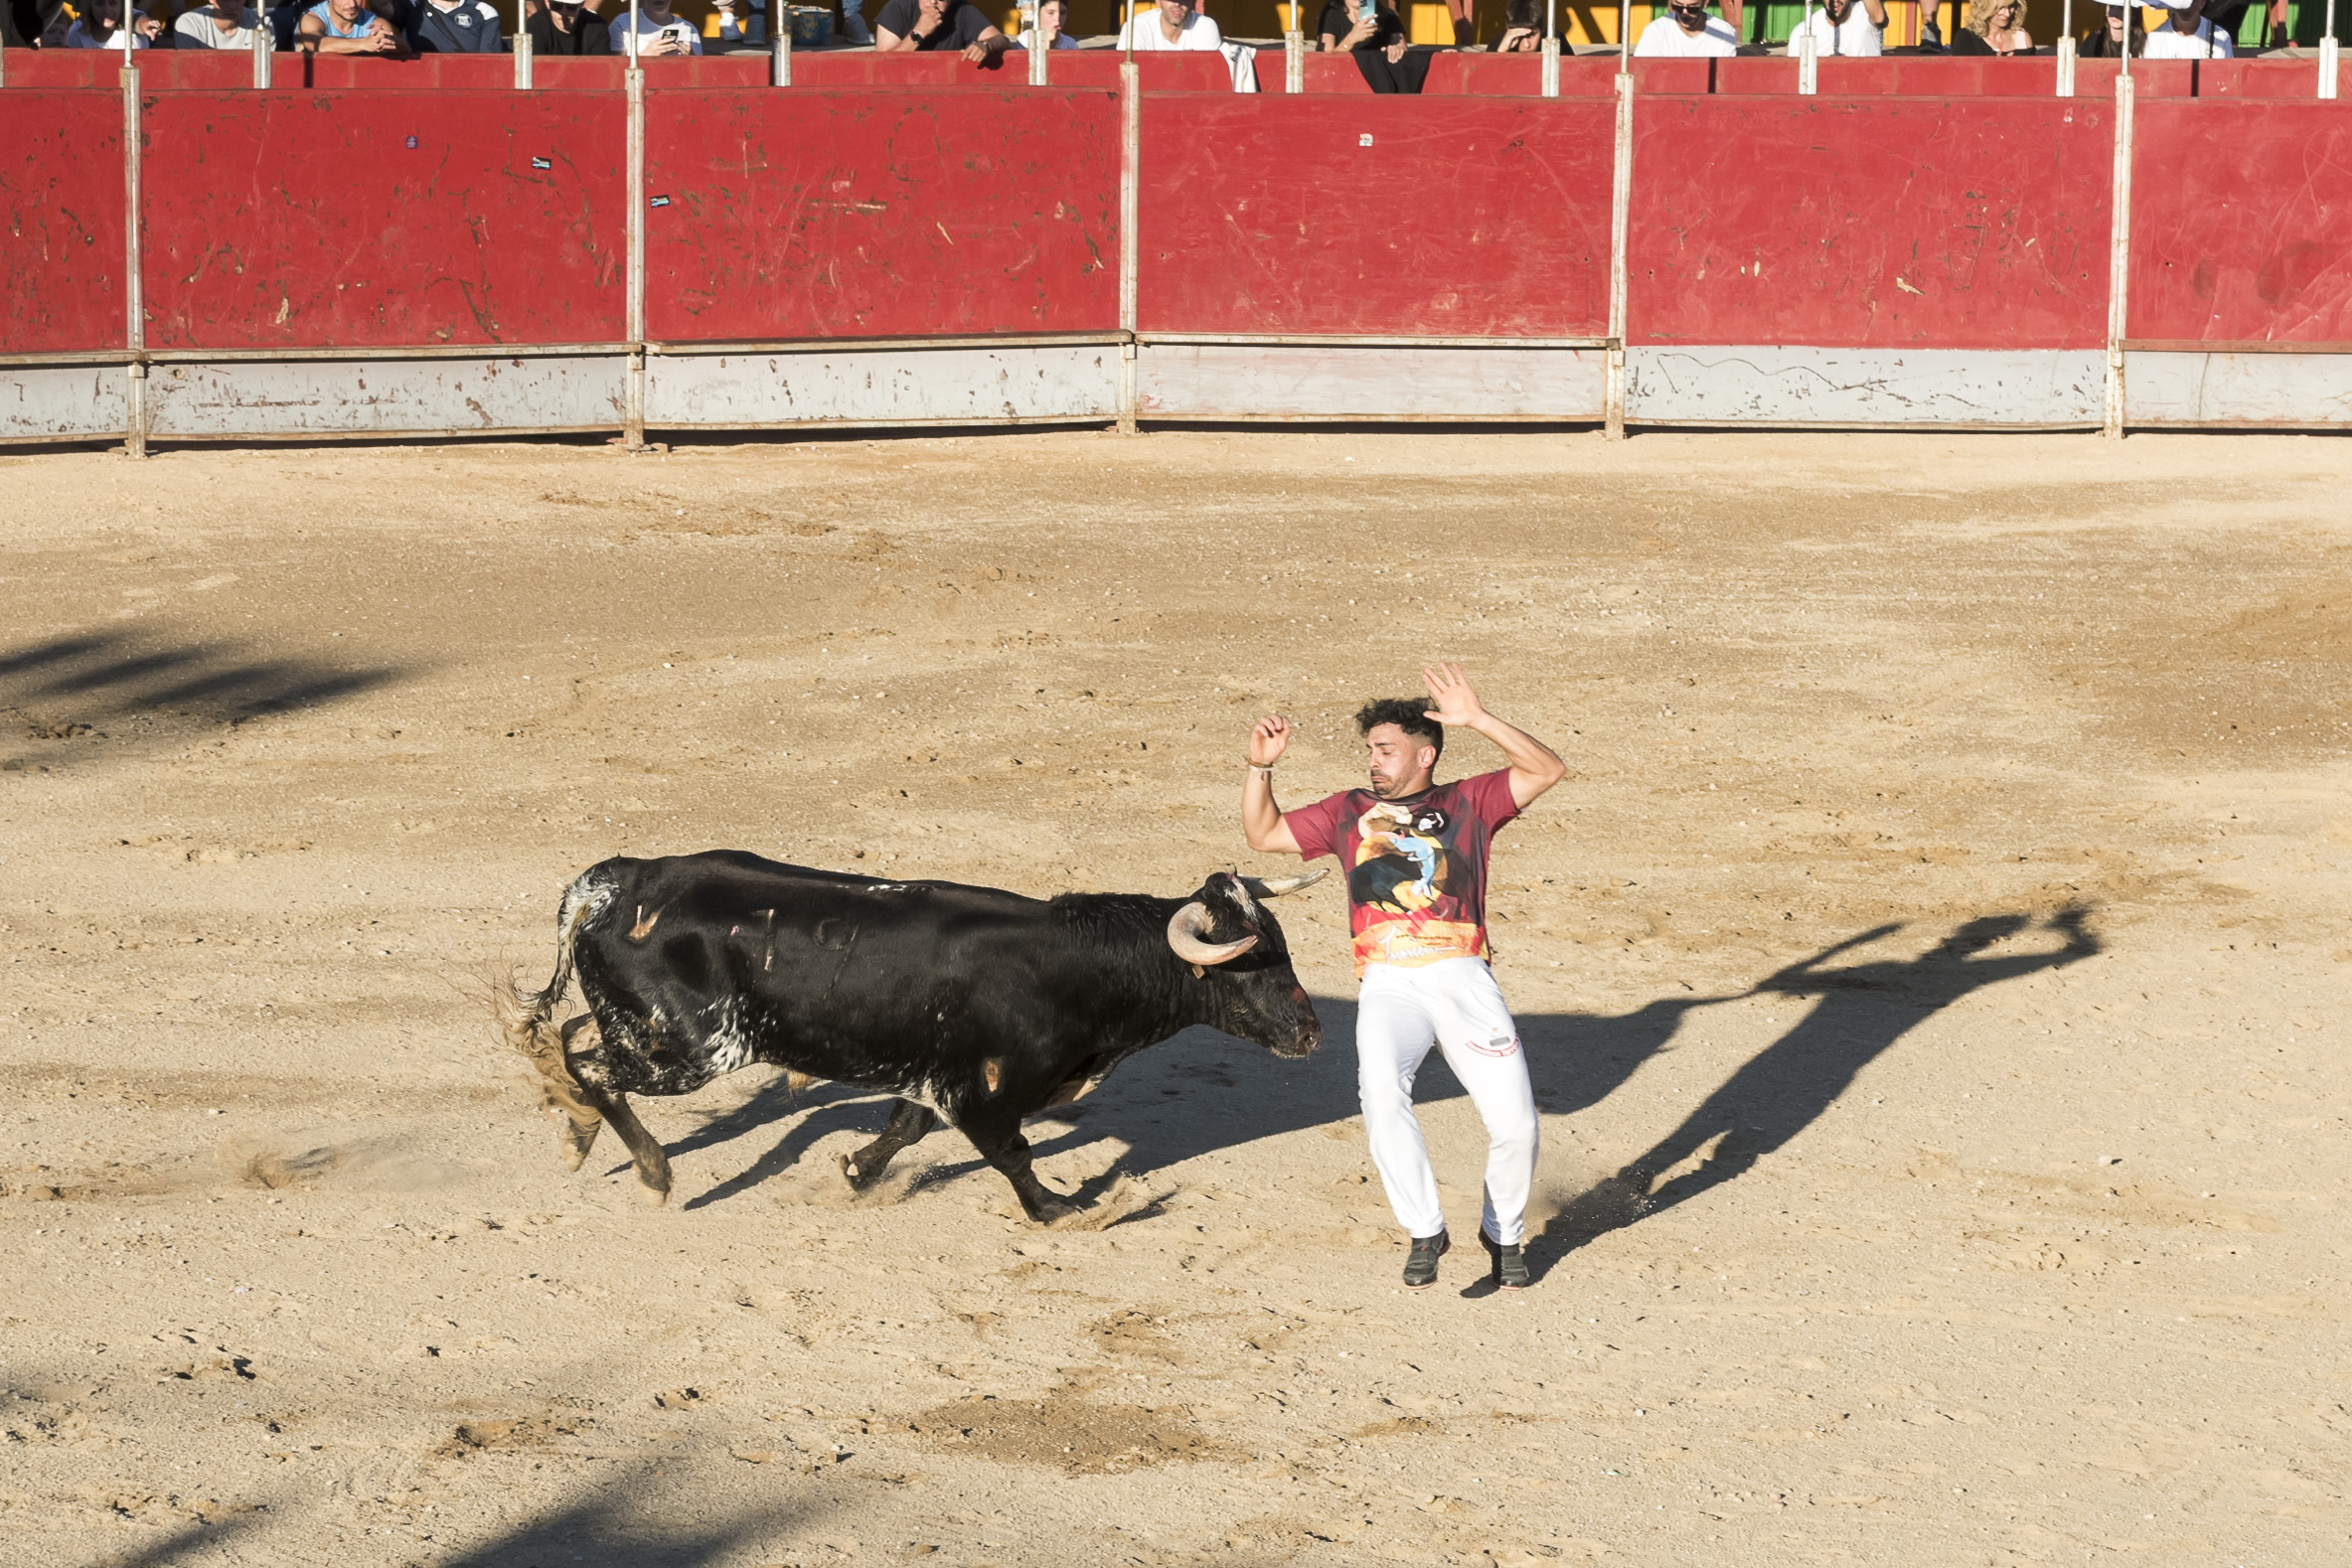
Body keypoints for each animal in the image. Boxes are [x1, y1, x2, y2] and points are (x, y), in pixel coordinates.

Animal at [498, 851, 1335, 1222]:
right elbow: (1012, 1155)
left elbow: (902, 1127)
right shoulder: (984, 1091)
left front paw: (854, 1172)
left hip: (648, 1031)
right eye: (1245, 964)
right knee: (595, 1068)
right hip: (689, 1050)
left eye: (1283, 947)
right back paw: (651, 1171)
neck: (1079, 965)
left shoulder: (935, 1071)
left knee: (570, 1040)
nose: (1309, 1035)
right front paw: (1060, 1209)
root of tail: (620, 881)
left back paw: (578, 1132)